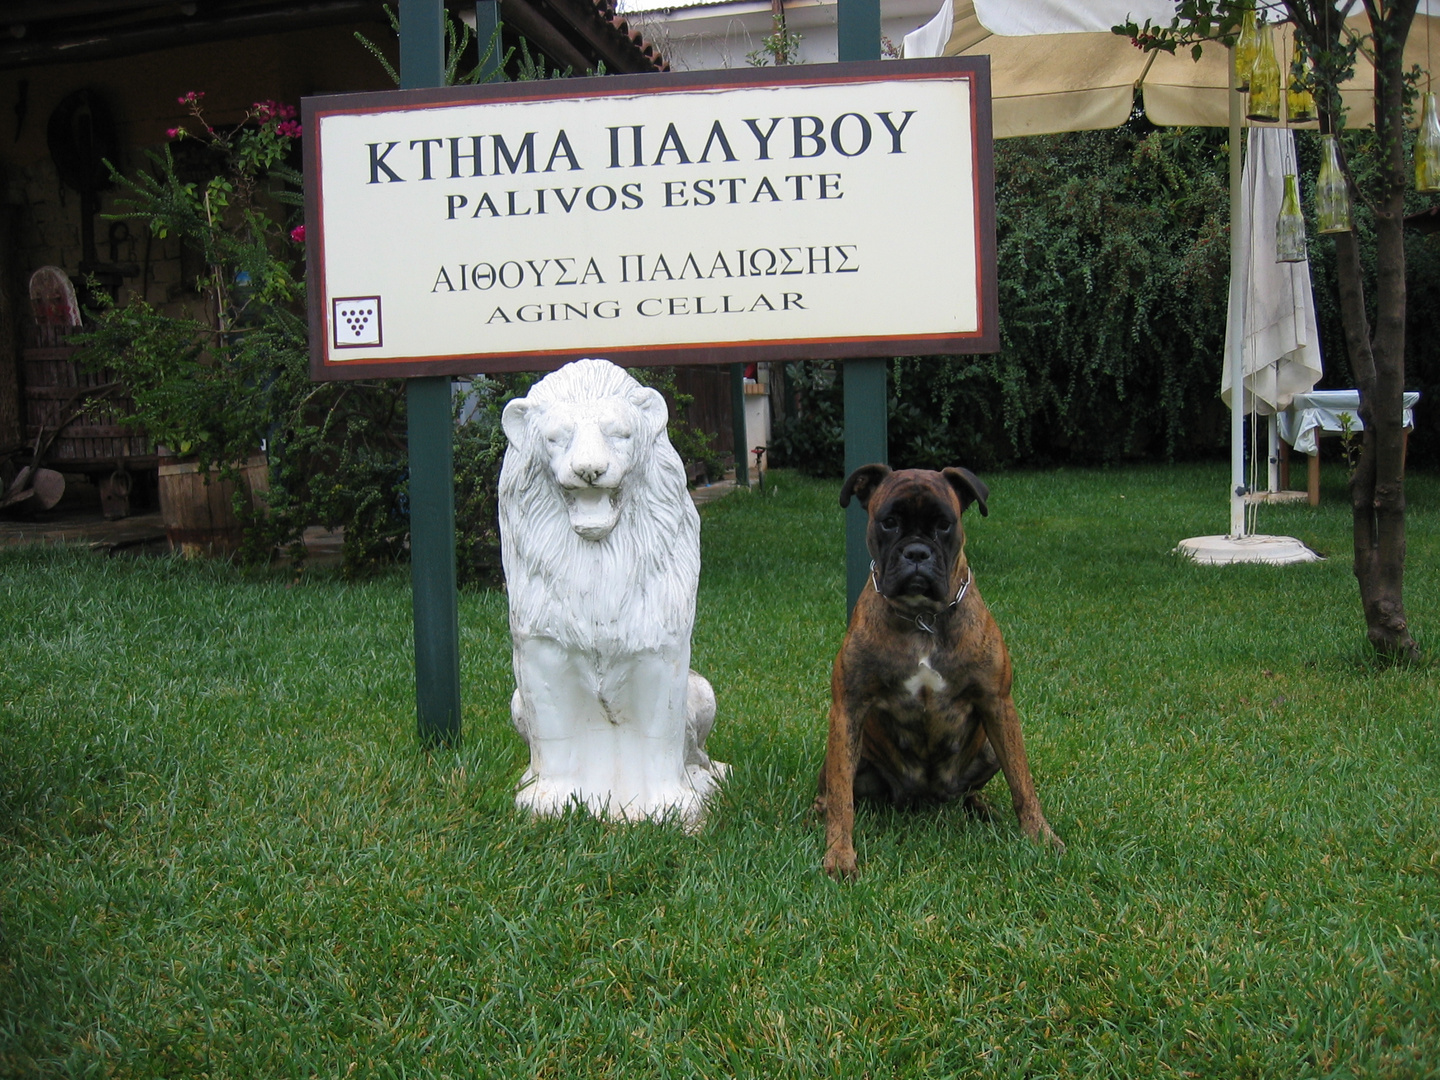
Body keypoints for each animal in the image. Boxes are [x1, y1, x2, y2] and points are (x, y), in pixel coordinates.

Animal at [817, 466, 1065, 881]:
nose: (917, 552)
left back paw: (982, 807)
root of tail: (926, 795)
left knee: (972, 788)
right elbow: (841, 797)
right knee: (834, 790)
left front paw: (1040, 836)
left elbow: (1022, 781)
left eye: (944, 524)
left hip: (987, 747)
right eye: (888, 522)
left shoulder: (998, 704)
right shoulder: (848, 709)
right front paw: (839, 853)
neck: (923, 618)